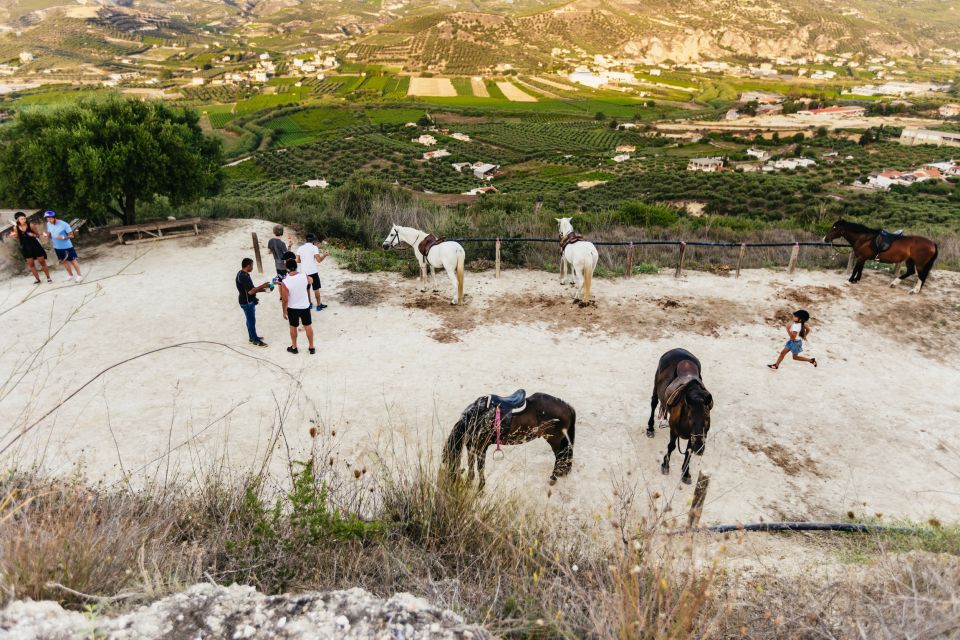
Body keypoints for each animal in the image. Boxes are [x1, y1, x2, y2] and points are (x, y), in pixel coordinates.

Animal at [444, 390, 576, 490]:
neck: (476, 417)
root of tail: (567, 406)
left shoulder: (482, 447)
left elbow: (480, 468)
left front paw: (480, 488)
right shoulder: (472, 446)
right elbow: (471, 465)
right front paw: (469, 483)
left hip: (554, 440)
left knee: (560, 456)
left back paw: (553, 477)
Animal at [644, 350, 712, 484]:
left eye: (707, 417)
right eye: (690, 417)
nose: (699, 448)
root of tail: (676, 349)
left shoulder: (693, 436)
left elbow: (688, 452)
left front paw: (686, 473)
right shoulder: (674, 430)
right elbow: (672, 446)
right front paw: (665, 465)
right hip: (655, 386)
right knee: (654, 403)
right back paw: (650, 428)